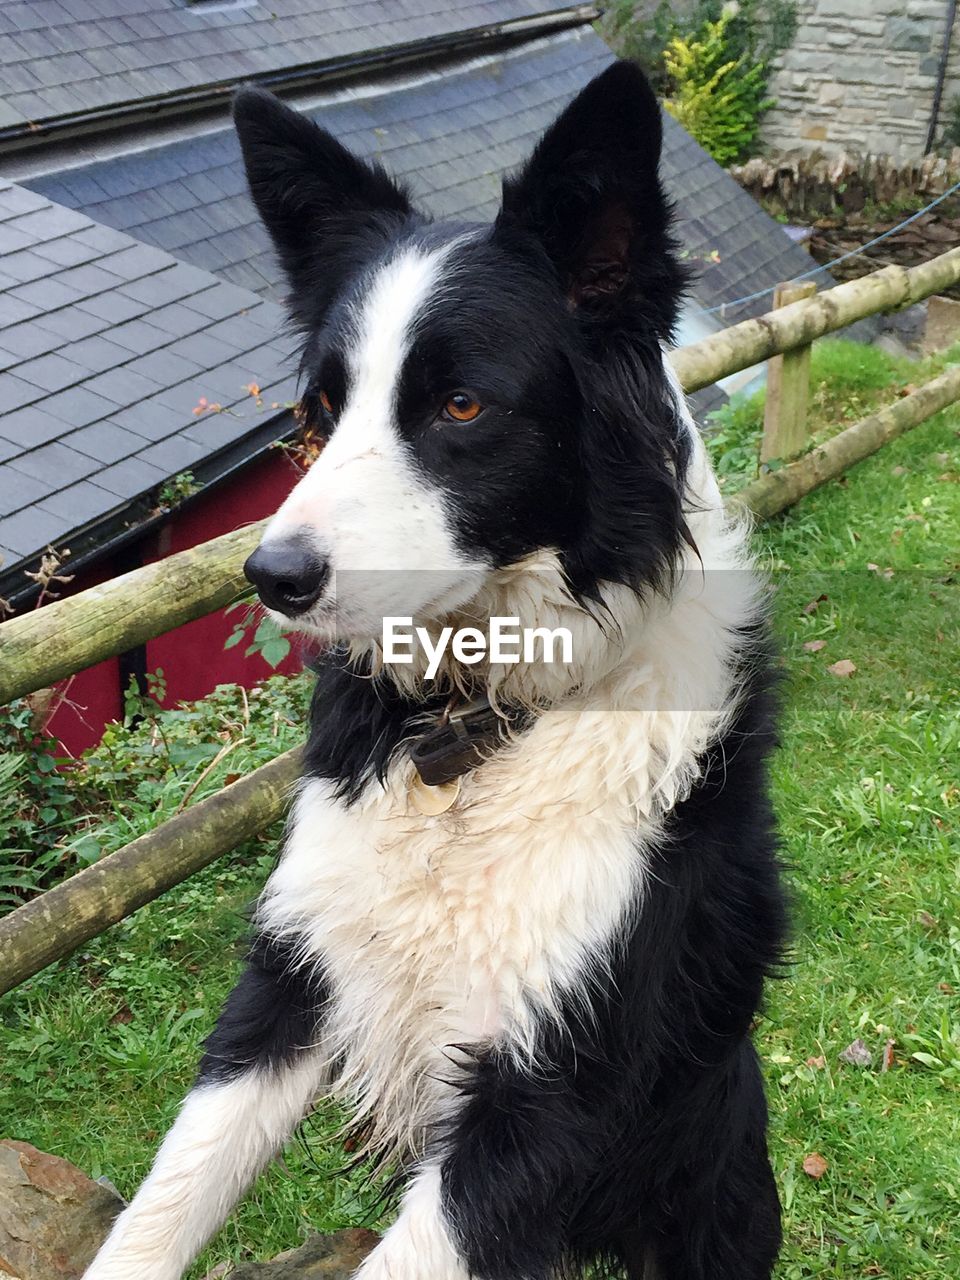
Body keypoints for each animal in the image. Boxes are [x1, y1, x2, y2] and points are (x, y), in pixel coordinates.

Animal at [82, 64, 788, 1280]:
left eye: (461, 405)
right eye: (321, 410)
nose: (269, 575)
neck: (469, 733)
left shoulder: (545, 1095)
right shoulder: (289, 982)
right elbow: (161, 1209)